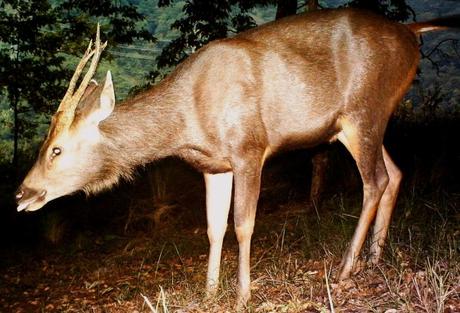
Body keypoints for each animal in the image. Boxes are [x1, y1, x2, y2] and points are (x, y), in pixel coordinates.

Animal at [15, 8, 460, 308]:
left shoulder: (249, 147)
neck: (188, 120)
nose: (22, 193)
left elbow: (243, 223)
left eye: (56, 149)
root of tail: (410, 31)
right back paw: (374, 257)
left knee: (375, 180)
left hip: (363, 110)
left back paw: (347, 267)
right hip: (359, 121)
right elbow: (213, 227)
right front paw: (210, 289)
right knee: (396, 172)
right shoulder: (214, 166)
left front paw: (243, 293)